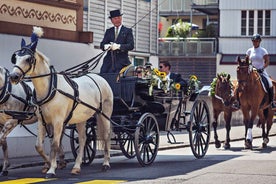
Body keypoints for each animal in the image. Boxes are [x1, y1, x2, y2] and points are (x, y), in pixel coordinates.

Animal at [9, 26, 113, 178]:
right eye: (15, 57)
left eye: (29, 59)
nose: (13, 76)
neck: (50, 88)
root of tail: (100, 78)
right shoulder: (42, 121)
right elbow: (39, 146)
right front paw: (49, 164)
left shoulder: (58, 121)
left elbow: (55, 144)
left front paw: (51, 169)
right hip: (82, 118)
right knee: (83, 140)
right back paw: (76, 166)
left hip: (104, 115)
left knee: (106, 137)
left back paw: (106, 163)